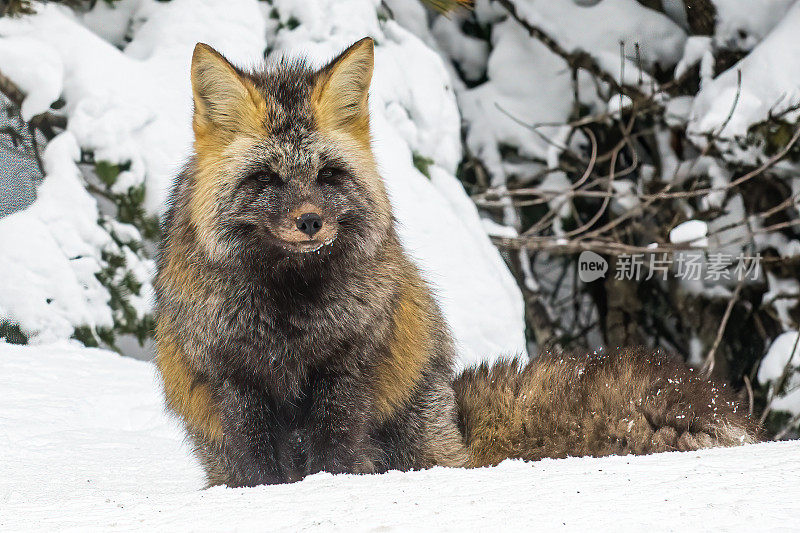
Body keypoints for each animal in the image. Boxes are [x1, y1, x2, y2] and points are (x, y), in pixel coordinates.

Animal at [155, 37, 756, 486]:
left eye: (328, 175)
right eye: (266, 181)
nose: (310, 223)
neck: (290, 316)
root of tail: (454, 416)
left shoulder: (347, 373)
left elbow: (337, 456)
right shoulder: (233, 381)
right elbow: (255, 466)